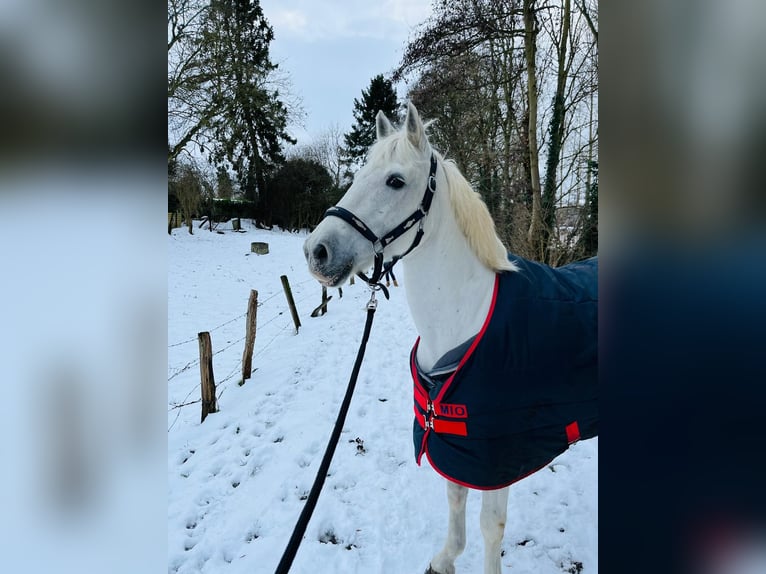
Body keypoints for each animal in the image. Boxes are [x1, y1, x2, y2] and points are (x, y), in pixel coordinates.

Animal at [304, 103, 596, 574]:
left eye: (395, 180)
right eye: (360, 173)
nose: (316, 251)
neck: (465, 317)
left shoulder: (498, 454)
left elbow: (490, 527)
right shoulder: (455, 441)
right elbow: (455, 497)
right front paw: (444, 559)